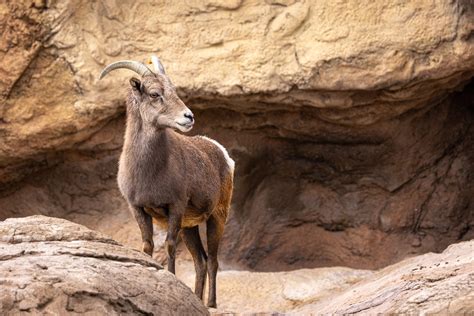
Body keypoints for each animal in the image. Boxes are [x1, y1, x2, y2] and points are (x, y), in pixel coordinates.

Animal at [99, 55, 233, 308]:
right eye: (154, 94)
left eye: (174, 91)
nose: (188, 117)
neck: (149, 171)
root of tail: (222, 153)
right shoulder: (138, 208)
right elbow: (147, 245)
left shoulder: (175, 207)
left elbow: (169, 245)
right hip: (190, 227)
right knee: (200, 262)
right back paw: (197, 299)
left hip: (217, 216)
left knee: (212, 260)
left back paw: (210, 304)